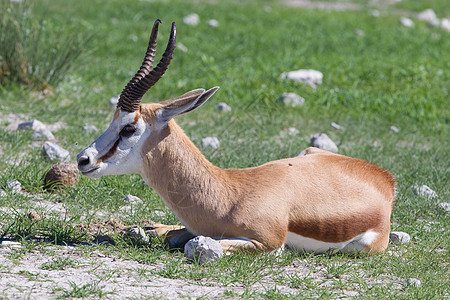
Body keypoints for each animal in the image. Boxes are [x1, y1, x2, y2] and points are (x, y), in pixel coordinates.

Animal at [79, 19, 396, 253]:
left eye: (129, 128)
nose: (84, 159)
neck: (229, 195)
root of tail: (384, 179)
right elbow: (175, 236)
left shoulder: (269, 244)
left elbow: (200, 245)